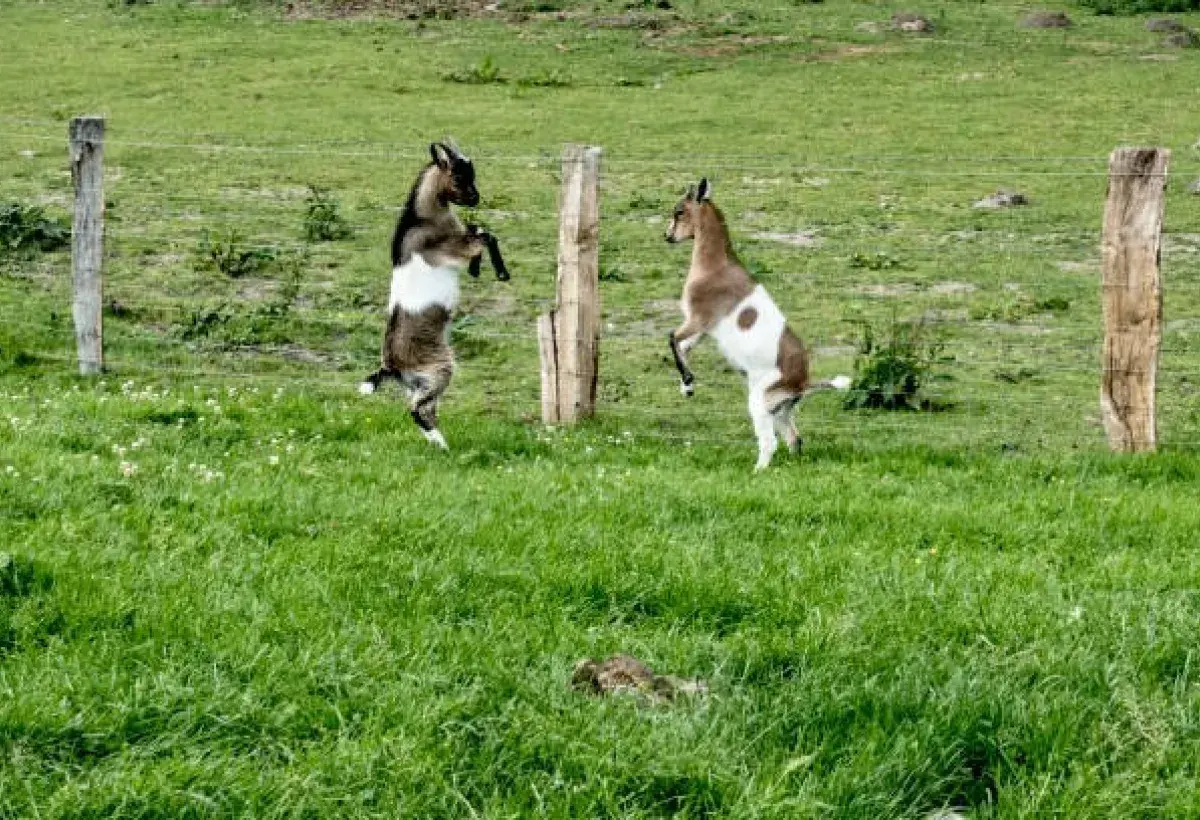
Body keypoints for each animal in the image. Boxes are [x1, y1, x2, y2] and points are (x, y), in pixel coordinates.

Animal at [359, 142, 509, 450]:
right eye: (459, 176)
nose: (475, 199)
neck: (422, 218)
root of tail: (391, 366)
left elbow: (480, 230)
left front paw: (477, 270)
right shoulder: (452, 245)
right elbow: (485, 236)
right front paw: (499, 273)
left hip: (417, 383)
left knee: (423, 409)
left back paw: (438, 443)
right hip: (439, 370)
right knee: (418, 410)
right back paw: (442, 444)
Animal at [664, 178, 850, 470]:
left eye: (679, 211)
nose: (668, 236)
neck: (715, 267)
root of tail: (801, 382)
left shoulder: (697, 320)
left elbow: (672, 337)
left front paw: (689, 382)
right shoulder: (703, 329)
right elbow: (682, 346)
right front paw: (687, 388)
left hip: (759, 403)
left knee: (770, 442)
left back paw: (756, 471)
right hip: (781, 411)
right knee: (794, 439)